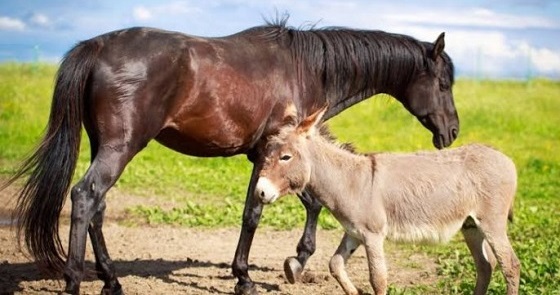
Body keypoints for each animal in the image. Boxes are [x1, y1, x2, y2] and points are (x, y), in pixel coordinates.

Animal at [4, 19, 458, 294]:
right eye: (443, 82)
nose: (452, 132)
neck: (305, 67)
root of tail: (97, 46)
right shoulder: (271, 153)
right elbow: (259, 212)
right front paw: (254, 274)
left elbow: (306, 201)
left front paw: (293, 262)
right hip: (119, 148)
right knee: (84, 197)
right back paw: (75, 280)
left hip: (106, 148)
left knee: (97, 206)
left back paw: (112, 280)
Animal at [256, 108, 520, 295]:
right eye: (267, 154)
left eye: (286, 157)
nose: (260, 192)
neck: (351, 180)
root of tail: (506, 158)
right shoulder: (353, 233)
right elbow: (335, 264)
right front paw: (355, 292)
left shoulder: (373, 235)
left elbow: (378, 279)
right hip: (471, 226)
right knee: (485, 266)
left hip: (492, 223)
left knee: (510, 265)